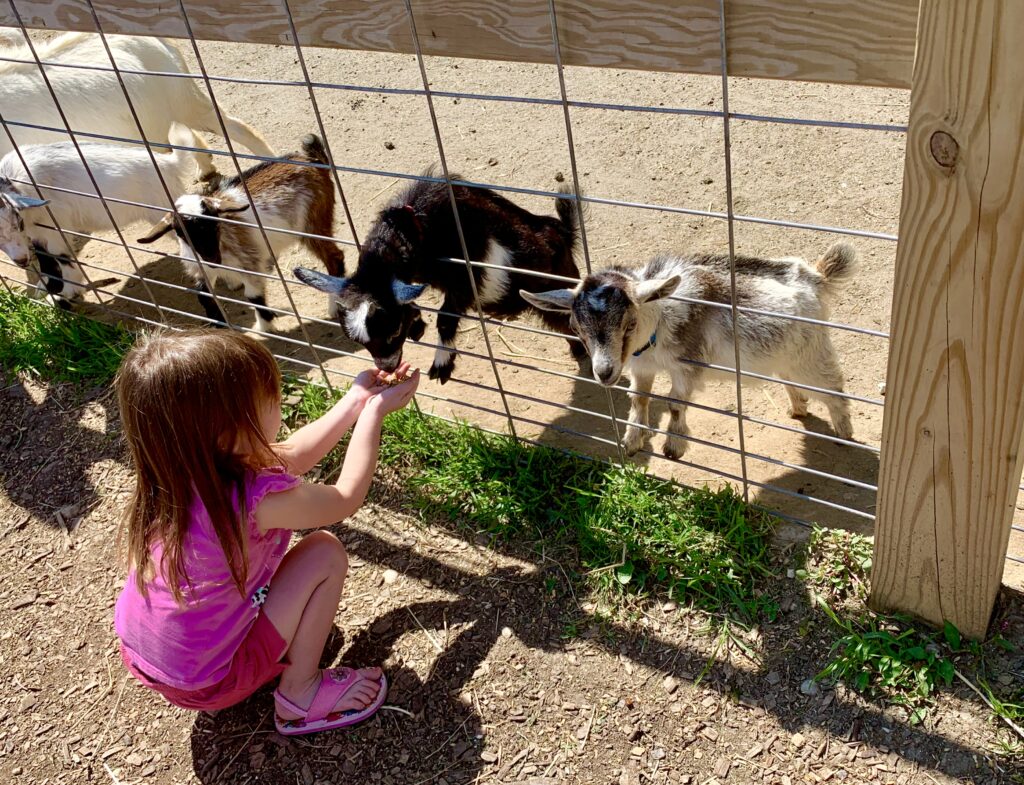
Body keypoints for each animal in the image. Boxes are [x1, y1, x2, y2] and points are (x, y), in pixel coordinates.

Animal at [0, 121, 207, 296]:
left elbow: (59, 254)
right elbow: (44, 255)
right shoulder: (35, 229)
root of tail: (168, 163)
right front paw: (47, 287)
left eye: (16, 223)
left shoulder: (52, 225)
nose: (21, 261)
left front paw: (68, 290)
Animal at [136, 135, 346, 331]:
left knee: (334, 257)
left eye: (214, 224)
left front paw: (263, 327)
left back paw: (334, 308)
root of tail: (312, 160)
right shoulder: (204, 268)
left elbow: (253, 296)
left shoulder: (247, 262)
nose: (213, 259)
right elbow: (203, 295)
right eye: (181, 233)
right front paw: (218, 322)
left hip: (313, 224)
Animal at [294, 179, 585, 386]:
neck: (416, 225)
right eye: (354, 339)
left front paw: (442, 364)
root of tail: (564, 233)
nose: (387, 367)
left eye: (393, 331)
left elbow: (446, 318)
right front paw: (417, 324)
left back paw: (581, 351)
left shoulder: (465, 281)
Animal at [520, 242, 856, 458]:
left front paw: (673, 447)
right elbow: (639, 398)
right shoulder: (641, 366)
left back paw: (844, 432)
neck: (658, 323)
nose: (603, 373)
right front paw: (632, 441)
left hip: (810, 354)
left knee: (833, 386)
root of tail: (817, 277)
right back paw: (798, 408)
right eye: (576, 328)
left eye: (629, 323)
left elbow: (674, 403)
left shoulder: (687, 365)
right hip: (785, 354)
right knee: (792, 381)